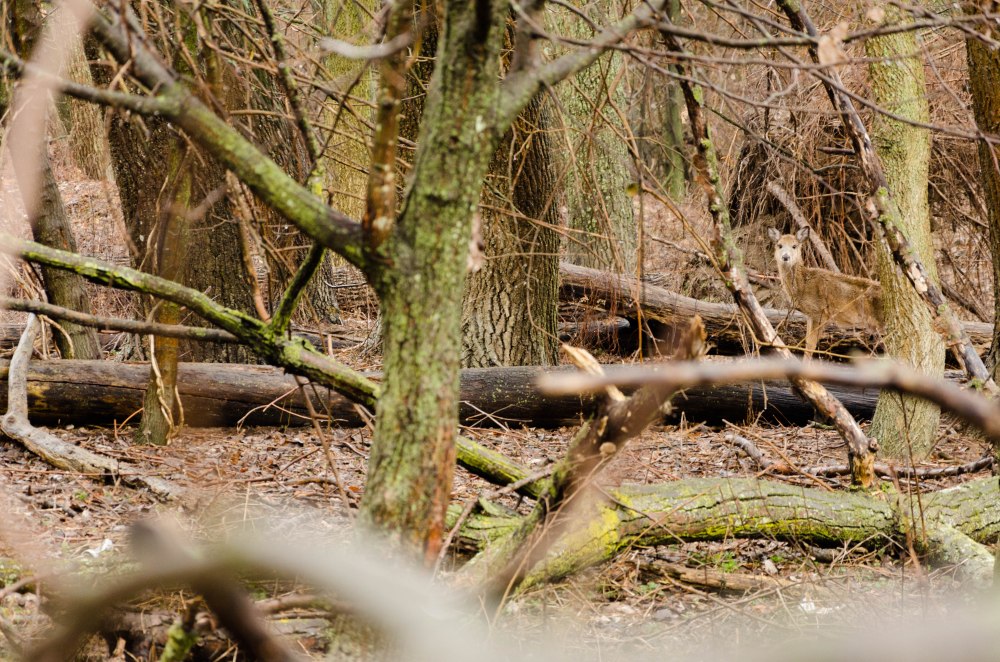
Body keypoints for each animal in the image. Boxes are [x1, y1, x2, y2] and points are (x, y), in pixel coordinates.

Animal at [767, 227, 882, 359]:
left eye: (794, 246)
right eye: (779, 245)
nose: (785, 257)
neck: (804, 285)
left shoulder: (820, 313)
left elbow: (811, 345)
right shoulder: (810, 315)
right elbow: (807, 342)